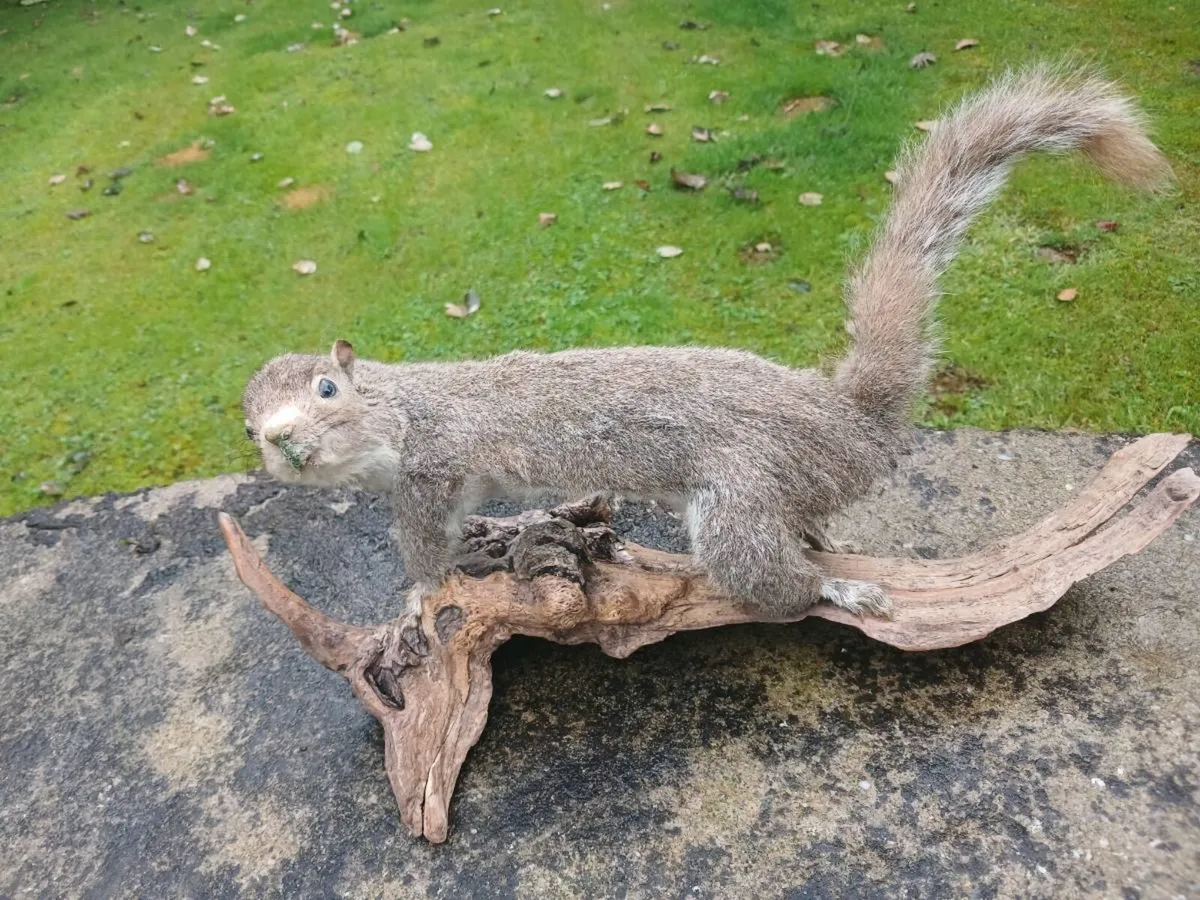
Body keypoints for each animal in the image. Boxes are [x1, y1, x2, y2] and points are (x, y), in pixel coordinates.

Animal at [242, 66, 1169, 629]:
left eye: (327, 390)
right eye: (248, 425)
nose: (282, 441)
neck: (403, 402)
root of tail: (850, 423)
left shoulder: (434, 467)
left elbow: (427, 551)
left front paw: (417, 601)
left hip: (737, 503)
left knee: (774, 579)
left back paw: (834, 586)